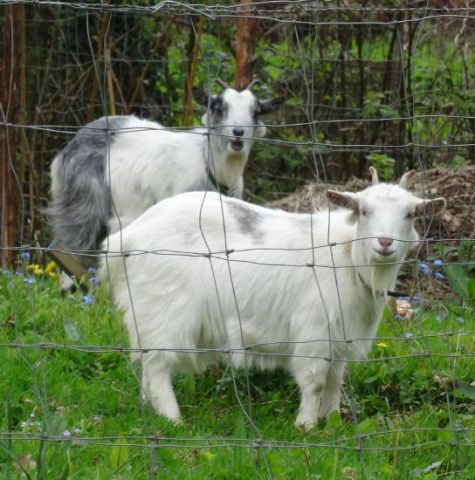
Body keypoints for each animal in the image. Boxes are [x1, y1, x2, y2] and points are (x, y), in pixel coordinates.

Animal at [100, 169, 446, 428]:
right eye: (363, 210)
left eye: (410, 214)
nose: (385, 242)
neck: (347, 257)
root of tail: (126, 238)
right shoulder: (314, 330)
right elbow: (315, 381)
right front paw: (306, 427)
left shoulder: (340, 337)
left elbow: (335, 381)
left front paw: (333, 422)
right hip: (163, 310)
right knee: (157, 365)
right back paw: (172, 419)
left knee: (146, 365)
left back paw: (150, 410)